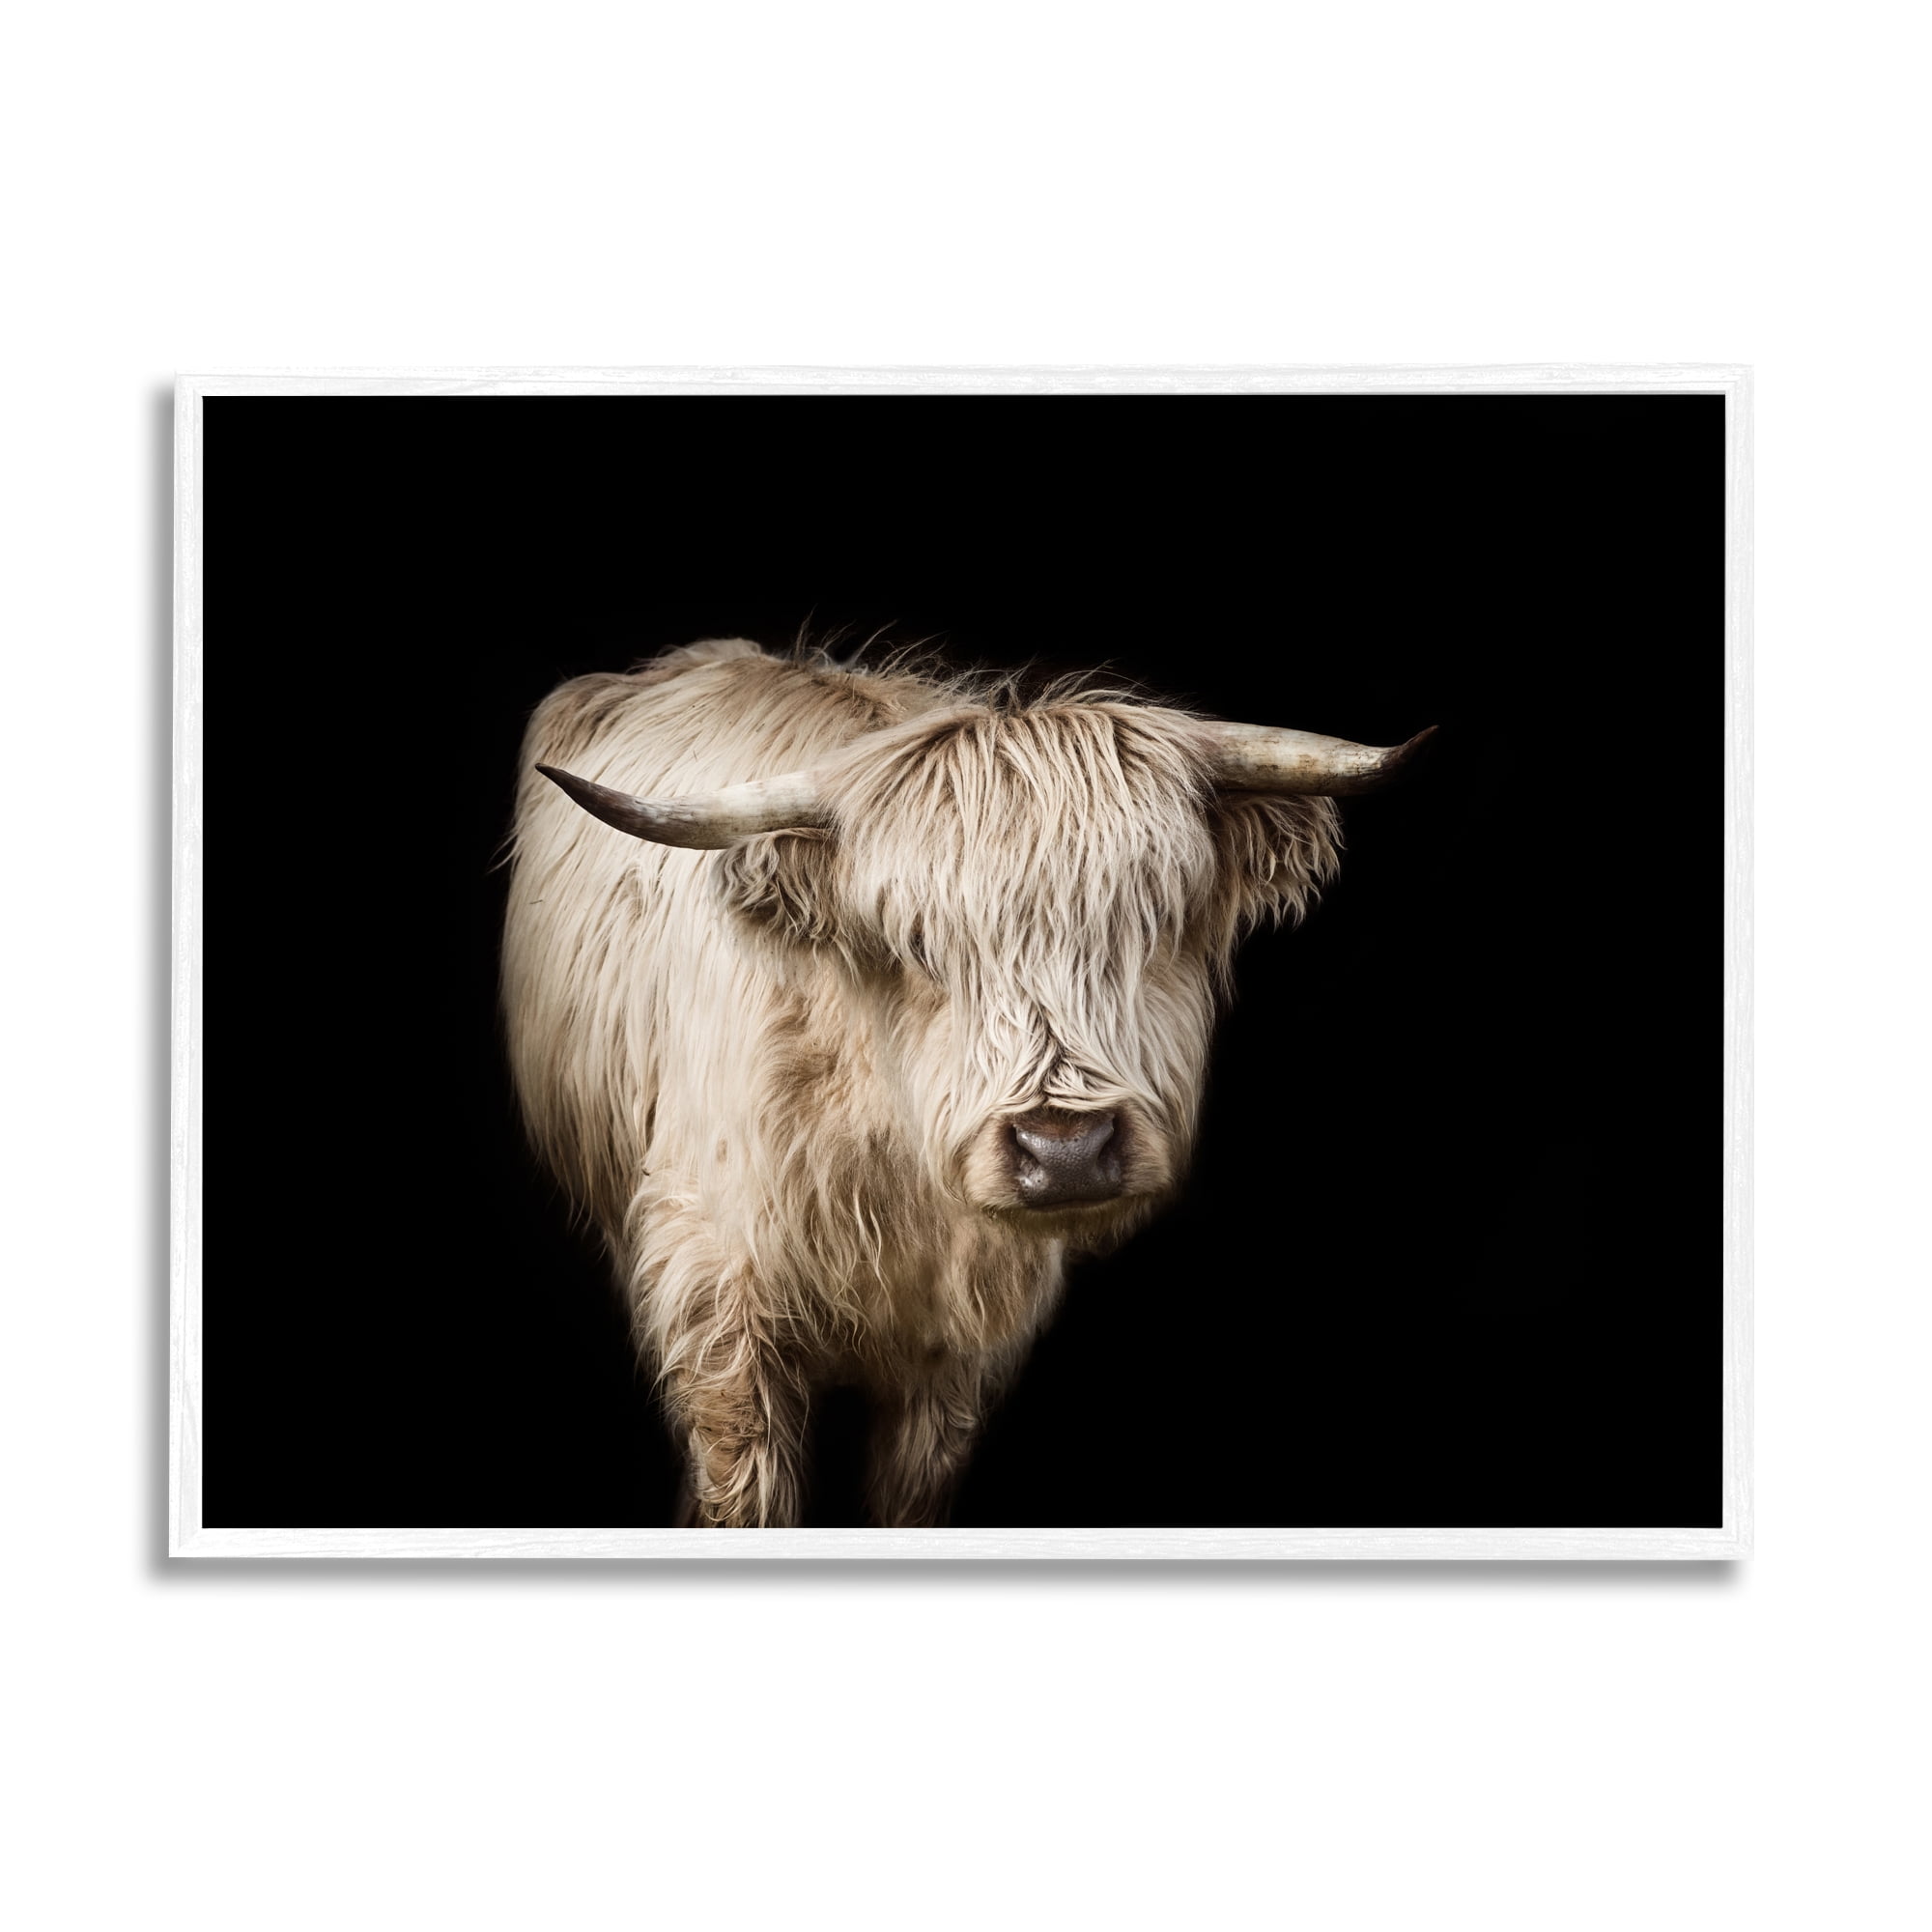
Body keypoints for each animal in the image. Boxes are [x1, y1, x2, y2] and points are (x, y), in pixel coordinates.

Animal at [503, 637, 1430, 1527]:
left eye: (1156, 920)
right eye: (916, 943)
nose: (1064, 1151)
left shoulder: (960, 1352)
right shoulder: (716, 1300)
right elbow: (745, 1489)